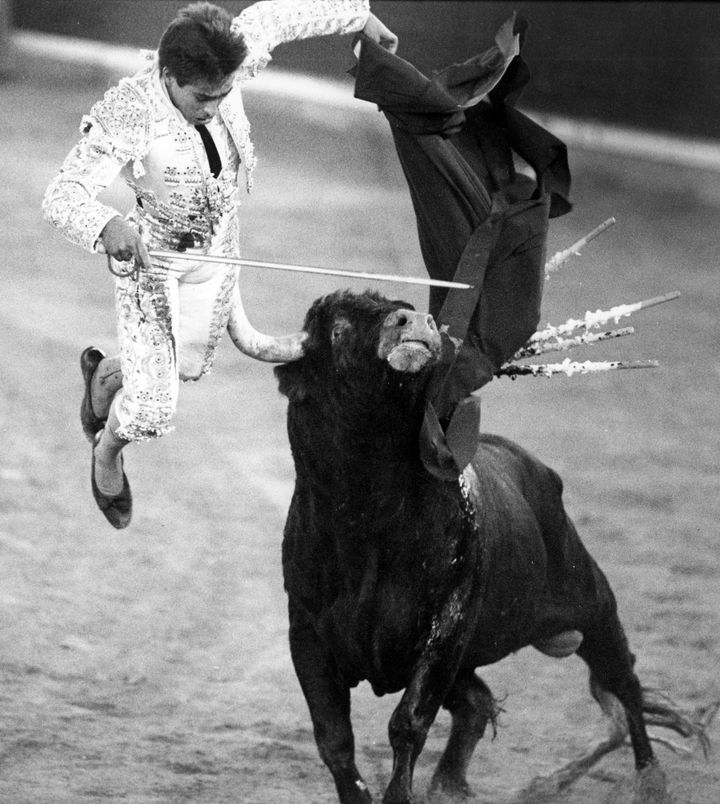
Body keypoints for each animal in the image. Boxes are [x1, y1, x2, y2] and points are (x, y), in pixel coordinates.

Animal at [274, 288, 704, 804]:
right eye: (338, 329)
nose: (415, 322)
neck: (367, 517)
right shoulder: (307, 633)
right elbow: (334, 739)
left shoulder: (446, 626)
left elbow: (408, 724)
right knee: (477, 703)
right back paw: (449, 784)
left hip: (592, 604)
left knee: (626, 685)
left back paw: (650, 780)